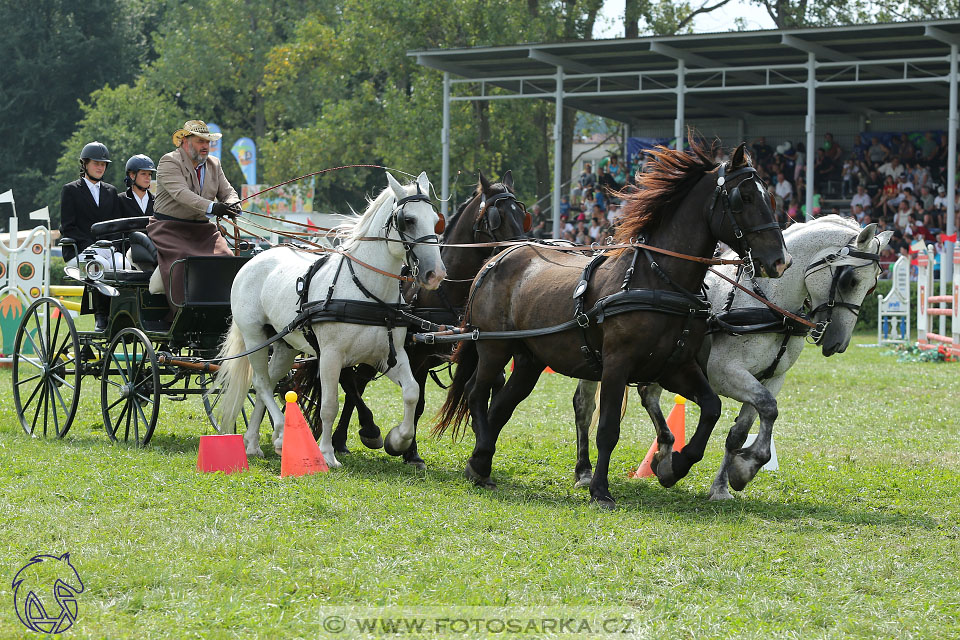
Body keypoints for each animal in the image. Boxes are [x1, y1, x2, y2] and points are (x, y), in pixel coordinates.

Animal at [212, 172, 444, 468]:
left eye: (435, 219)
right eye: (409, 220)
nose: (435, 273)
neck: (366, 291)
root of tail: (255, 257)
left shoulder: (389, 356)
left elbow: (412, 392)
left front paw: (398, 440)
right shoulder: (331, 356)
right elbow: (330, 404)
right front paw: (327, 454)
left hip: (286, 345)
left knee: (270, 383)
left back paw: (253, 443)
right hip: (255, 337)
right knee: (262, 384)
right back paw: (280, 432)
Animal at [434, 141, 788, 510]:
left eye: (770, 197)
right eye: (744, 197)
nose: (779, 260)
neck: (657, 278)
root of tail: (494, 260)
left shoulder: (675, 367)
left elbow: (712, 408)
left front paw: (674, 465)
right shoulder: (617, 364)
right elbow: (607, 430)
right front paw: (600, 489)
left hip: (530, 360)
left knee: (501, 406)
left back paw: (481, 461)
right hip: (493, 346)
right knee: (476, 393)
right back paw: (480, 460)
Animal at [568, 215, 892, 500]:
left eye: (873, 286)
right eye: (850, 280)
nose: (838, 342)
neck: (767, 302)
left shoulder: (772, 378)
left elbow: (745, 427)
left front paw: (724, 483)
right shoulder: (725, 375)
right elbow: (767, 408)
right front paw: (745, 467)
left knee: (648, 395)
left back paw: (664, 452)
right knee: (585, 407)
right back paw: (585, 472)